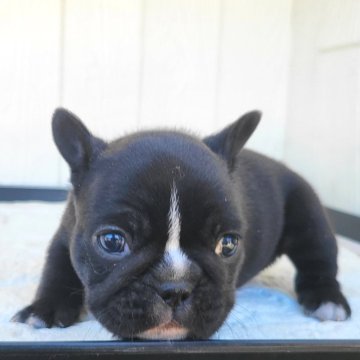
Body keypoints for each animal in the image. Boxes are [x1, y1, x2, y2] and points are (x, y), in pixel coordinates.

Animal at [11, 108, 352, 338]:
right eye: (112, 241)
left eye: (228, 244)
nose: (175, 289)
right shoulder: (66, 236)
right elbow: (57, 270)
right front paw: (43, 309)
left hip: (309, 214)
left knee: (319, 259)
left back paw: (327, 299)